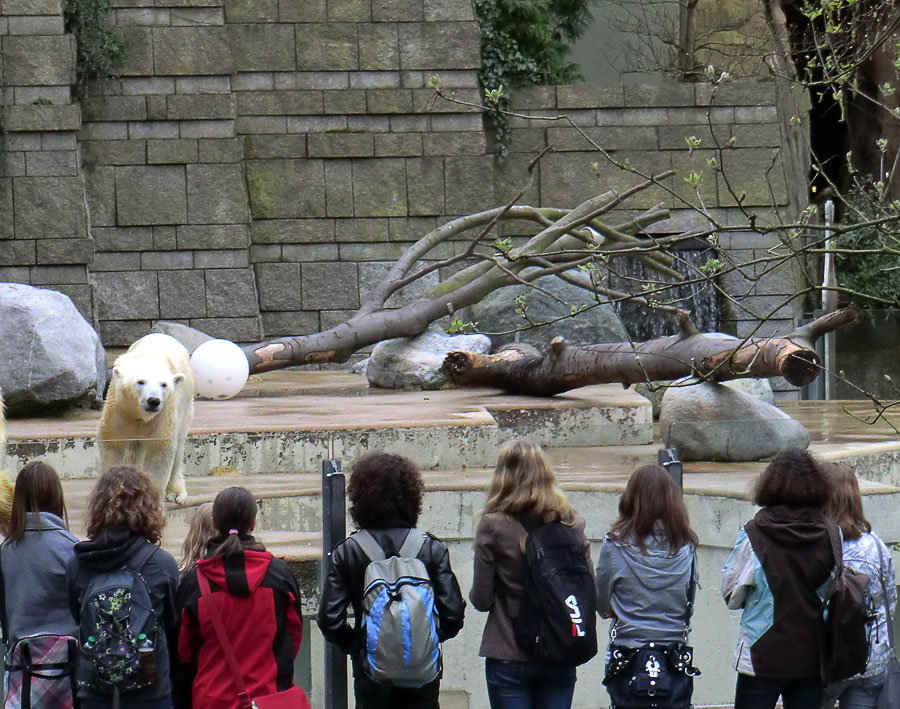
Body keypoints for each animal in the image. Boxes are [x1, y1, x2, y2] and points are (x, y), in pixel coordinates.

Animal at [98, 334, 195, 504]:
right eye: (140, 382)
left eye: (164, 384)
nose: (153, 401)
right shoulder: (119, 408)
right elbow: (113, 445)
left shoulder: (164, 414)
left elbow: (160, 452)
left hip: (185, 405)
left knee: (178, 448)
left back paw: (176, 492)